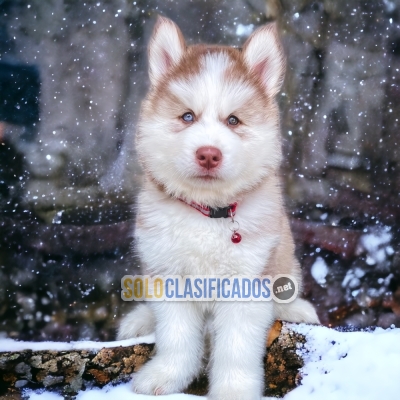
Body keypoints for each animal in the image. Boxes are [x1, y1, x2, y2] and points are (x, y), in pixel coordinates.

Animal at [119, 17, 318, 400]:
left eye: (234, 121)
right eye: (187, 116)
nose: (208, 154)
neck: (207, 212)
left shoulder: (247, 284)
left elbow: (236, 348)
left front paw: (233, 390)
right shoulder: (169, 276)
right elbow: (176, 338)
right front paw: (168, 375)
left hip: (283, 257)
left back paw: (298, 309)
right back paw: (139, 319)